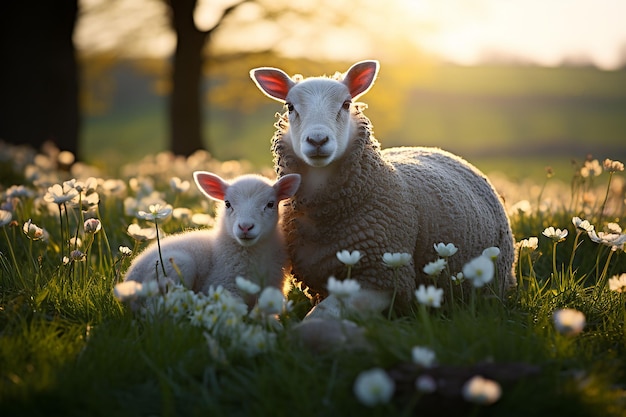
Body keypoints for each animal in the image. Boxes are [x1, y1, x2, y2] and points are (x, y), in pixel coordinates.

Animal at [122, 170, 300, 306]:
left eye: (270, 204)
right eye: (227, 203)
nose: (245, 227)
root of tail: (128, 280)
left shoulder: (273, 287)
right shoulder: (224, 284)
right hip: (176, 266)